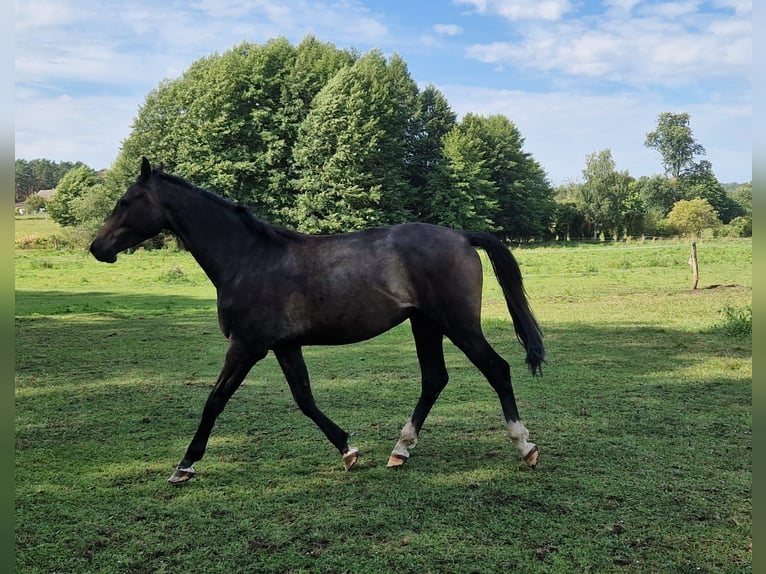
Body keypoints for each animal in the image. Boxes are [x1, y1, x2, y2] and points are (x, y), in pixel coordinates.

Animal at [90, 157, 545, 484]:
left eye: (125, 201)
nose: (97, 248)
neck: (248, 259)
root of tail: (462, 236)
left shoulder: (246, 346)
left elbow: (215, 401)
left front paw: (184, 466)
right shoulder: (284, 346)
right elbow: (305, 399)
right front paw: (347, 450)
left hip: (457, 324)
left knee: (496, 369)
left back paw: (524, 447)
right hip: (425, 325)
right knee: (434, 379)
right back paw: (400, 450)